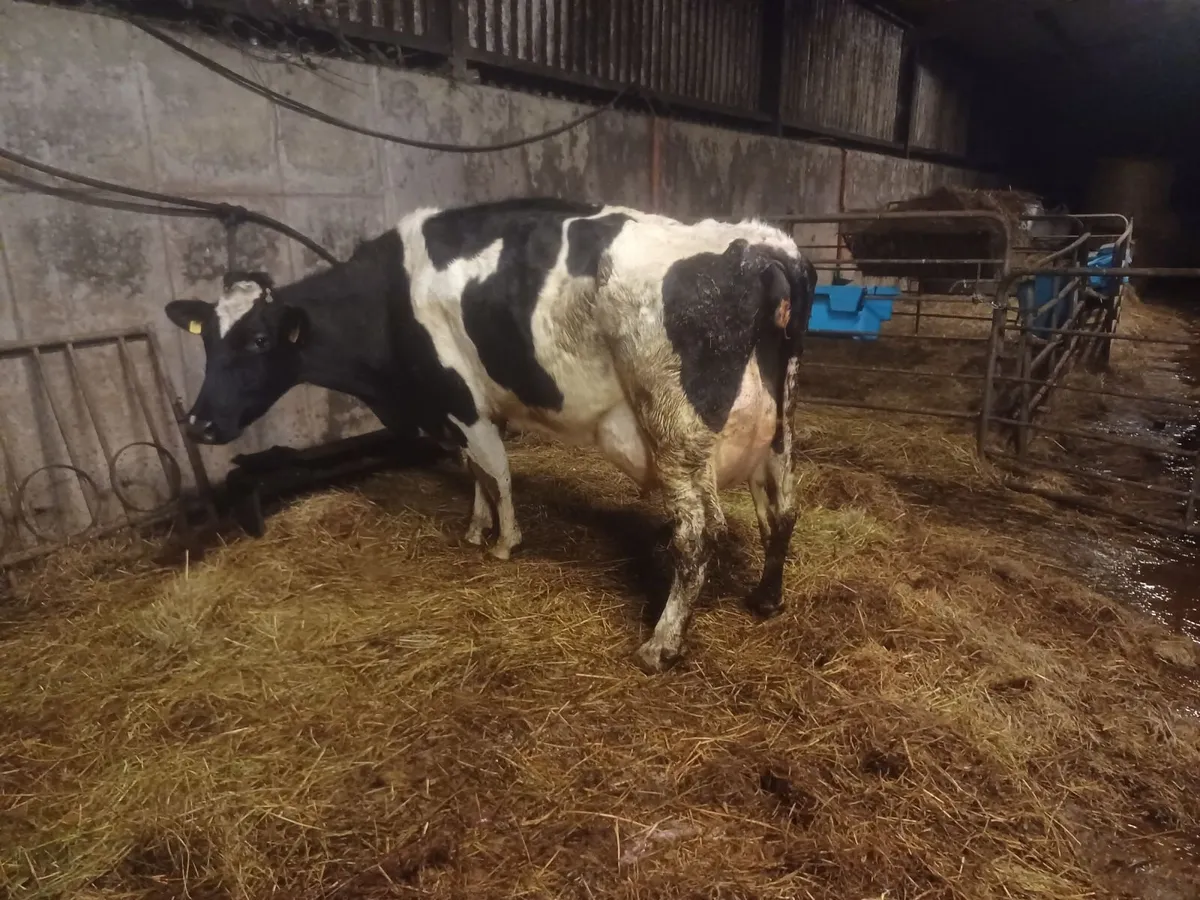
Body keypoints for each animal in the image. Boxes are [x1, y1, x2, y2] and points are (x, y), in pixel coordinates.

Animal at [164, 198, 816, 673]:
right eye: (207, 340)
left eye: (257, 341)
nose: (198, 422)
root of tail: (764, 248)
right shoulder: (458, 408)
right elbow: (474, 470)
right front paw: (476, 528)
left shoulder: (461, 399)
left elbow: (495, 470)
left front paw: (504, 542)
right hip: (777, 426)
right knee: (781, 510)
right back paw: (765, 599)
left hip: (675, 428)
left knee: (699, 532)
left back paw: (662, 644)